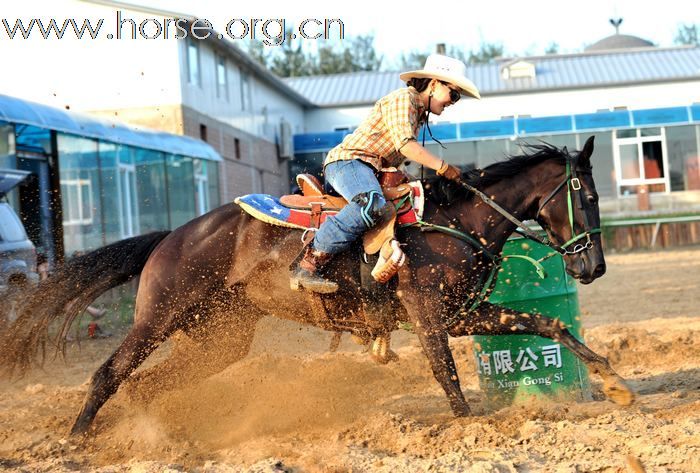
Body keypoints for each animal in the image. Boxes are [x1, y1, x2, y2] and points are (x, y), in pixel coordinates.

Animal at [0, 134, 636, 436]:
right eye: (585, 194)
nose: (593, 268)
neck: (454, 219)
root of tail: (172, 236)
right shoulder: (431, 318)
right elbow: (447, 377)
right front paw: (467, 428)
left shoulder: (466, 314)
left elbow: (548, 322)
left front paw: (616, 383)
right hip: (156, 317)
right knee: (109, 374)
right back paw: (79, 439)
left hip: (221, 338)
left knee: (147, 385)